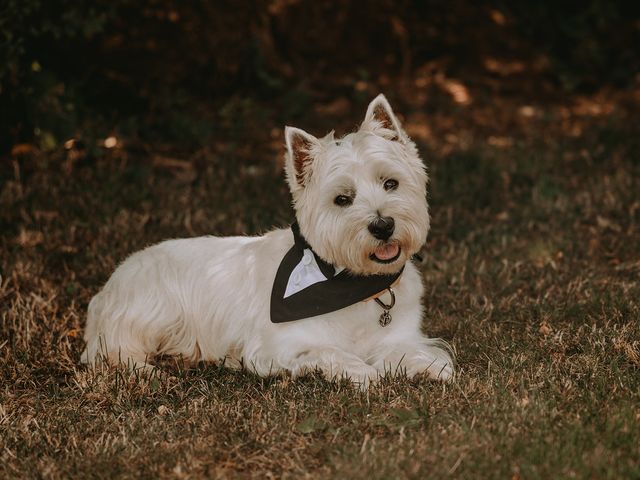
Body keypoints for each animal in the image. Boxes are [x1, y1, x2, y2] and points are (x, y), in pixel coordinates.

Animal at [82, 95, 456, 388]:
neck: (356, 284)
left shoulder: (400, 335)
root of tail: (108, 287)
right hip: (152, 311)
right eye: (342, 199)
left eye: (390, 183)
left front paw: (430, 366)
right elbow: (328, 350)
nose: (383, 226)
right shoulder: (276, 345)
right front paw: (363, 372)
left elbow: (409, 350)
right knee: (119, 352)